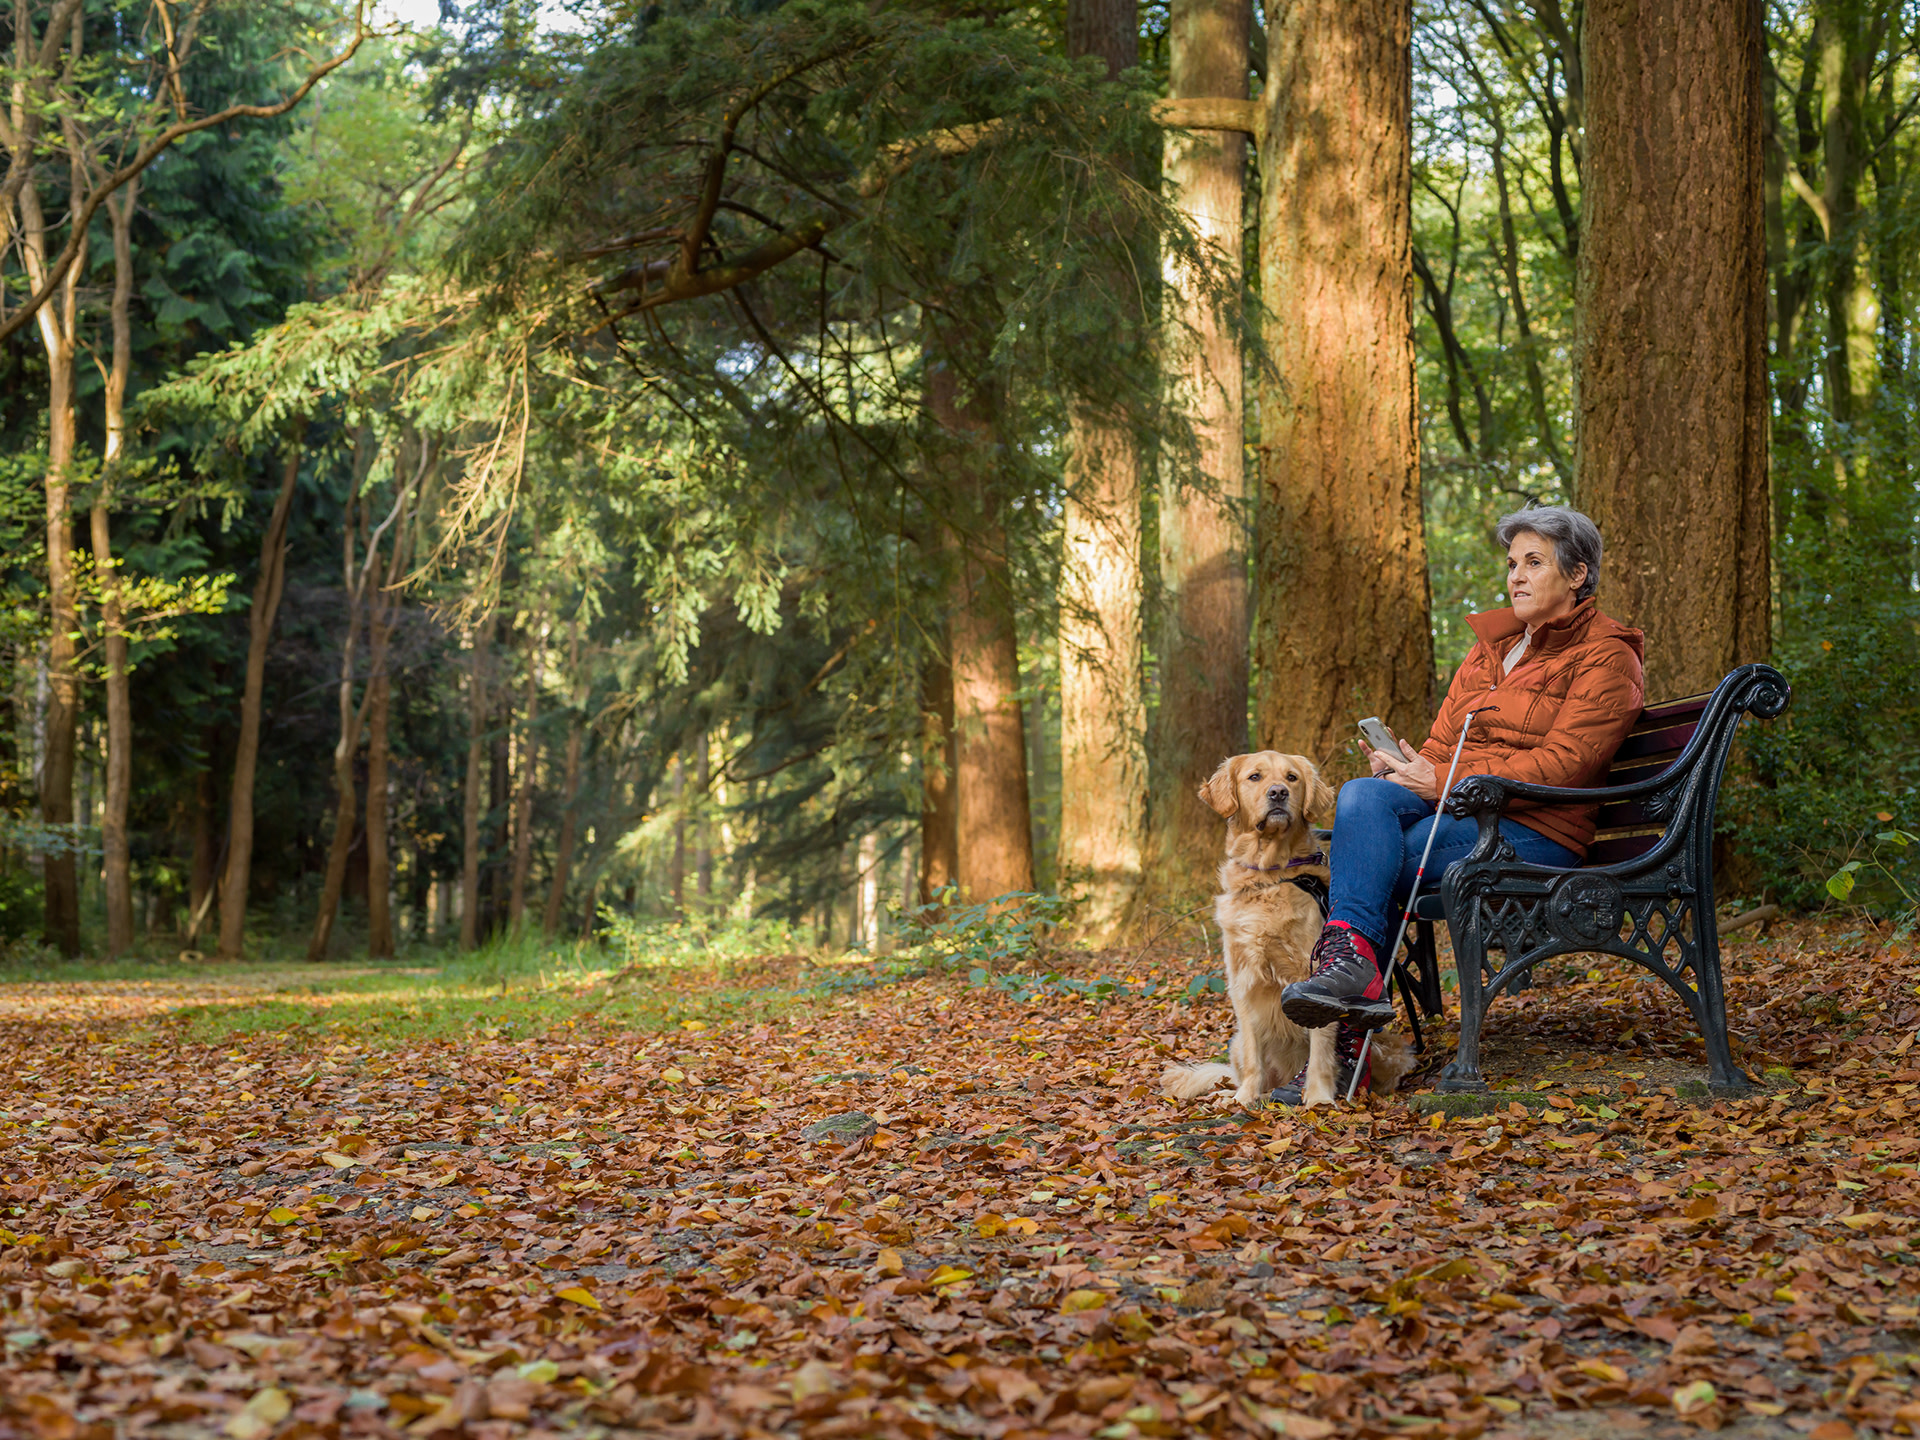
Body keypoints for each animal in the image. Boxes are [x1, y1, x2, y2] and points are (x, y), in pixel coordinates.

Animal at [1159, 756, 1420, 1113]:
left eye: (1292, 778)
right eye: (1254, 777)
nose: (1278, 793)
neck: (1270, 876)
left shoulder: (1312, 978)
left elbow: (1321, 1048)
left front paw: (1319, 1097)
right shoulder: (1243, 980)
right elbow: (1254, 1056)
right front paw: (1244, 1098)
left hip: (1386, 1048)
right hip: (1236, 1043)